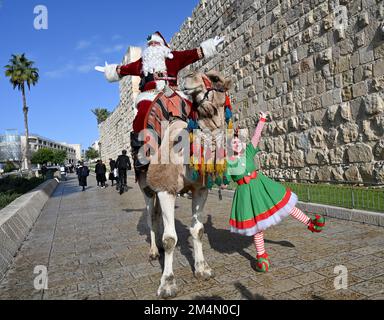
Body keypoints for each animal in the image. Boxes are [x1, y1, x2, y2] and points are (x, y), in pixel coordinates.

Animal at [136, 71, 232, 298]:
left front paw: (203, 269)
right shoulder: (165, 189)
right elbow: (170, 239)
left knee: (157, 215)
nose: (188, 78)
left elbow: (198, 230)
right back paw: (154, 252)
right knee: (150, 215)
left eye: (215, 79)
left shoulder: (200, 189)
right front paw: (167, 284)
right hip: (146, 185)